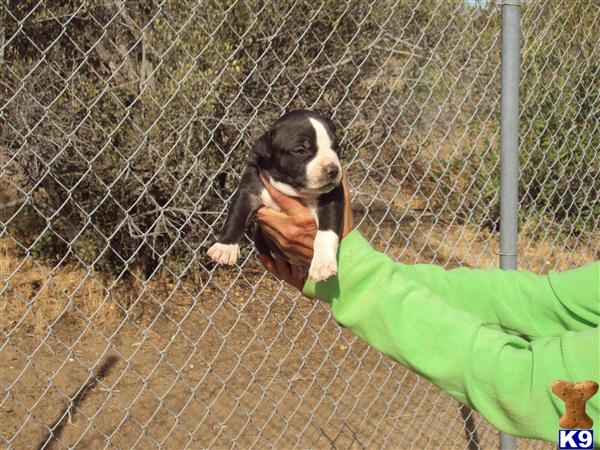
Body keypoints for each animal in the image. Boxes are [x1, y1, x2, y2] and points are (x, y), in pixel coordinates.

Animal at [207, 109, 342, 280]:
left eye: (336, 148)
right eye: (300, 151)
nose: (333, 170)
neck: (292, 189)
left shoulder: (331, 198)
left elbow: (326, 232)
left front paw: (323, 264)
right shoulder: (249, 191)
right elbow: (236, 216)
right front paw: (225, 247)